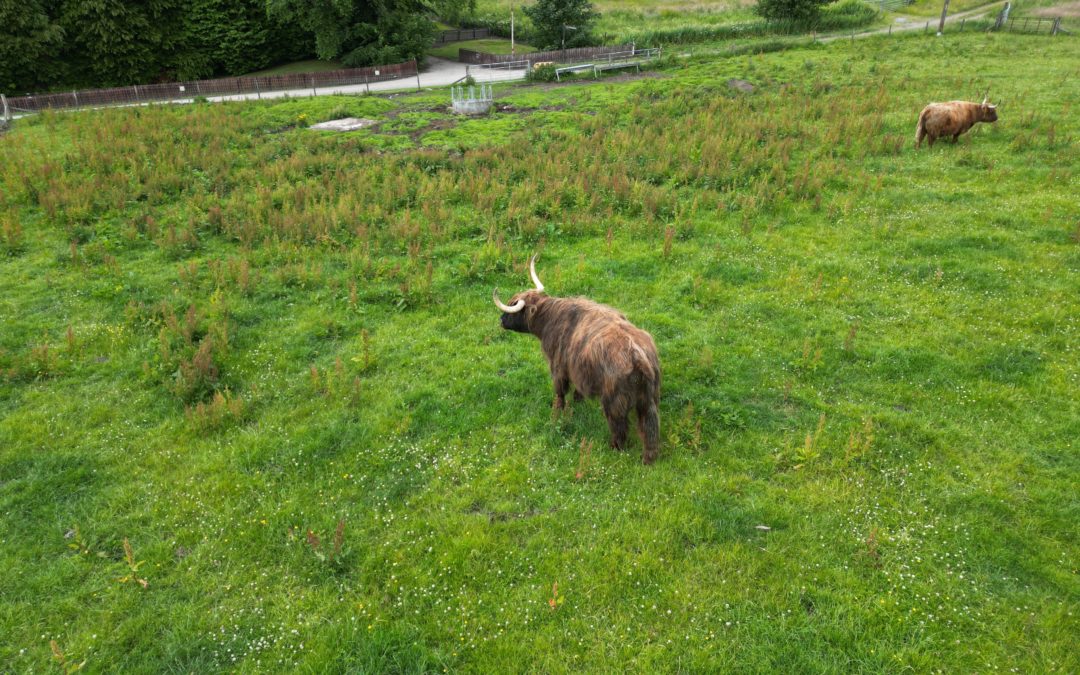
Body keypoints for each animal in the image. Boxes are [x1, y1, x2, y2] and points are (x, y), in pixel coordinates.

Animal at [494, 252, 660, 462]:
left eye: (512, 306)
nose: (501, 320)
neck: (550, 318)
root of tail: (638, 356)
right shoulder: (578, 371)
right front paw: (578, 402)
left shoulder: (557, 367)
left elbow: (559, 393)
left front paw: (556, 414)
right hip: (649, 399)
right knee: (650, 426)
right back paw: (648, 458)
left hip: (614, 401)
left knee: (619, 426)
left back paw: (614, 447)